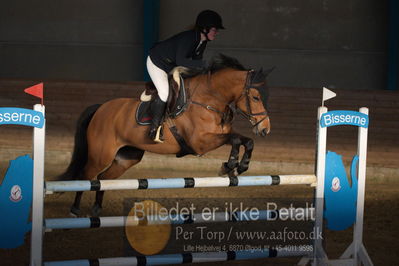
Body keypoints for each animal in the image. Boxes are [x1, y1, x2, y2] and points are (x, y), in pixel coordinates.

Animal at [58, 53, 272, 216]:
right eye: (256, 97)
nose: (265, 129)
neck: (208, 99)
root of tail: (100, 108)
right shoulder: (200, 142)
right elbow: (235, 139)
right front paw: (231, 165)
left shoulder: (218, 136)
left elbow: (246, 141)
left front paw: (235, 166)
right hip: (101, 155)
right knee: (87, 176)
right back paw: (75, 211)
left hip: (127, 157)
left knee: (104, 179)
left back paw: (96, 209)